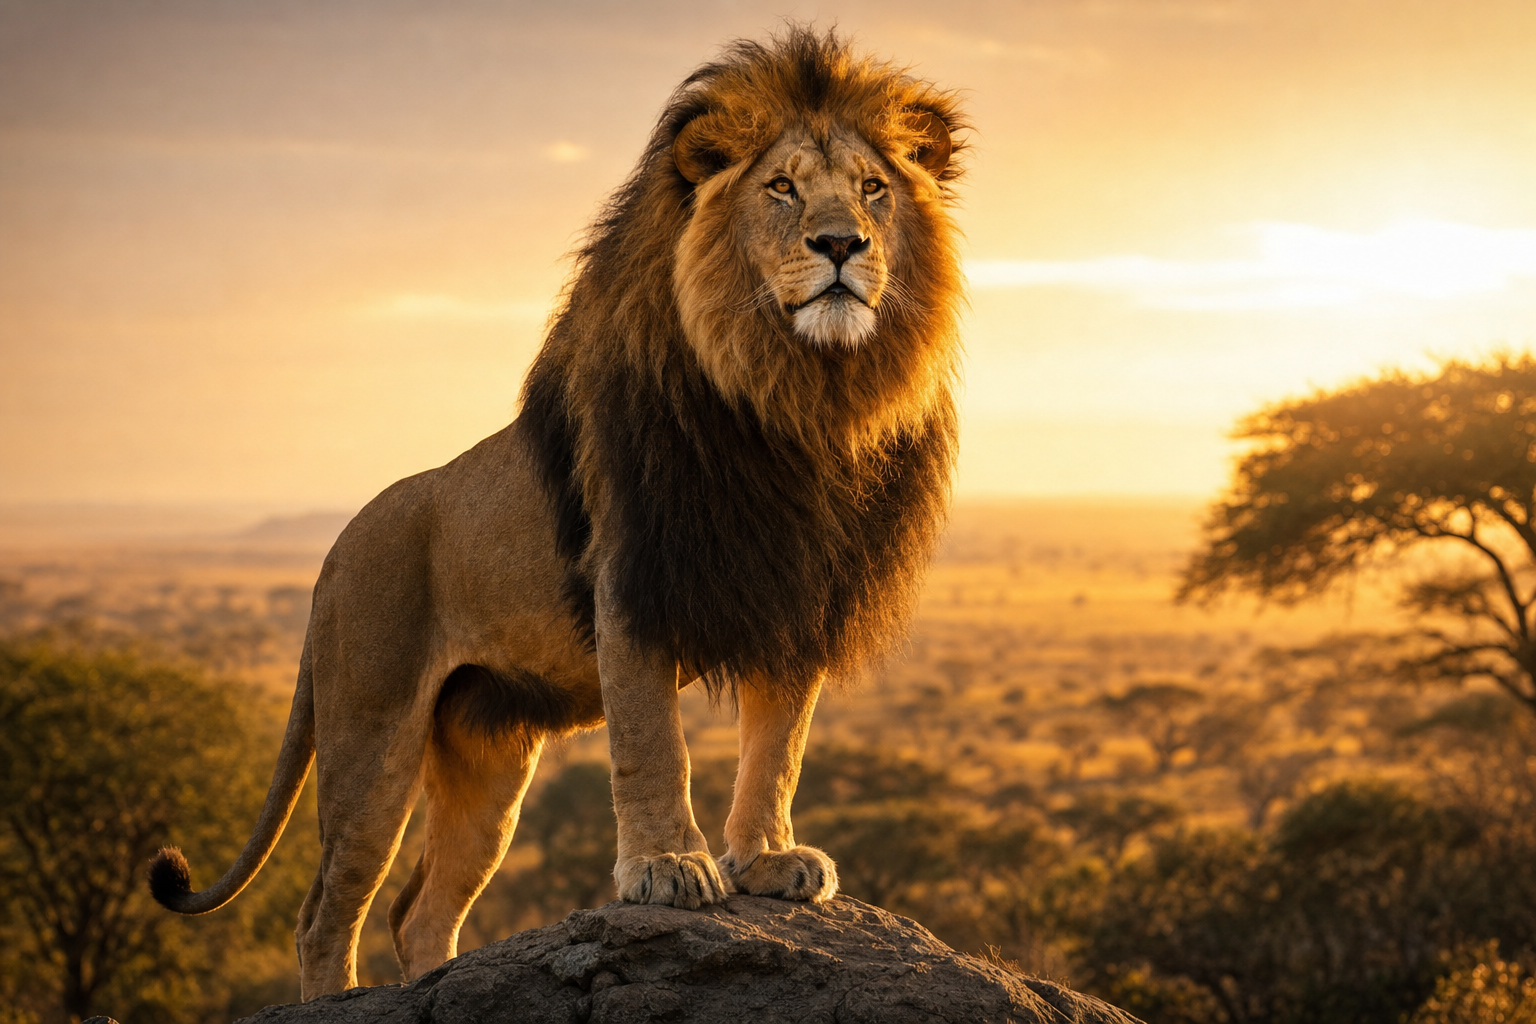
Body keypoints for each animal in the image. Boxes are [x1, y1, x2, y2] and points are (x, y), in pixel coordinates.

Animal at [148, 27, 966, 1000]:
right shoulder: (634, 584)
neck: (799, 399)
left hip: (490, 758)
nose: (842, 243)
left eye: (874, 188)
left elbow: (780, 747)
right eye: (782, 188)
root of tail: (336, 552)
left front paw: (769, 861)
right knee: (324, 913)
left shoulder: (797, 597)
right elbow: (654, 740)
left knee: (419, 910)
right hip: (371, 734)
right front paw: (667, 867)